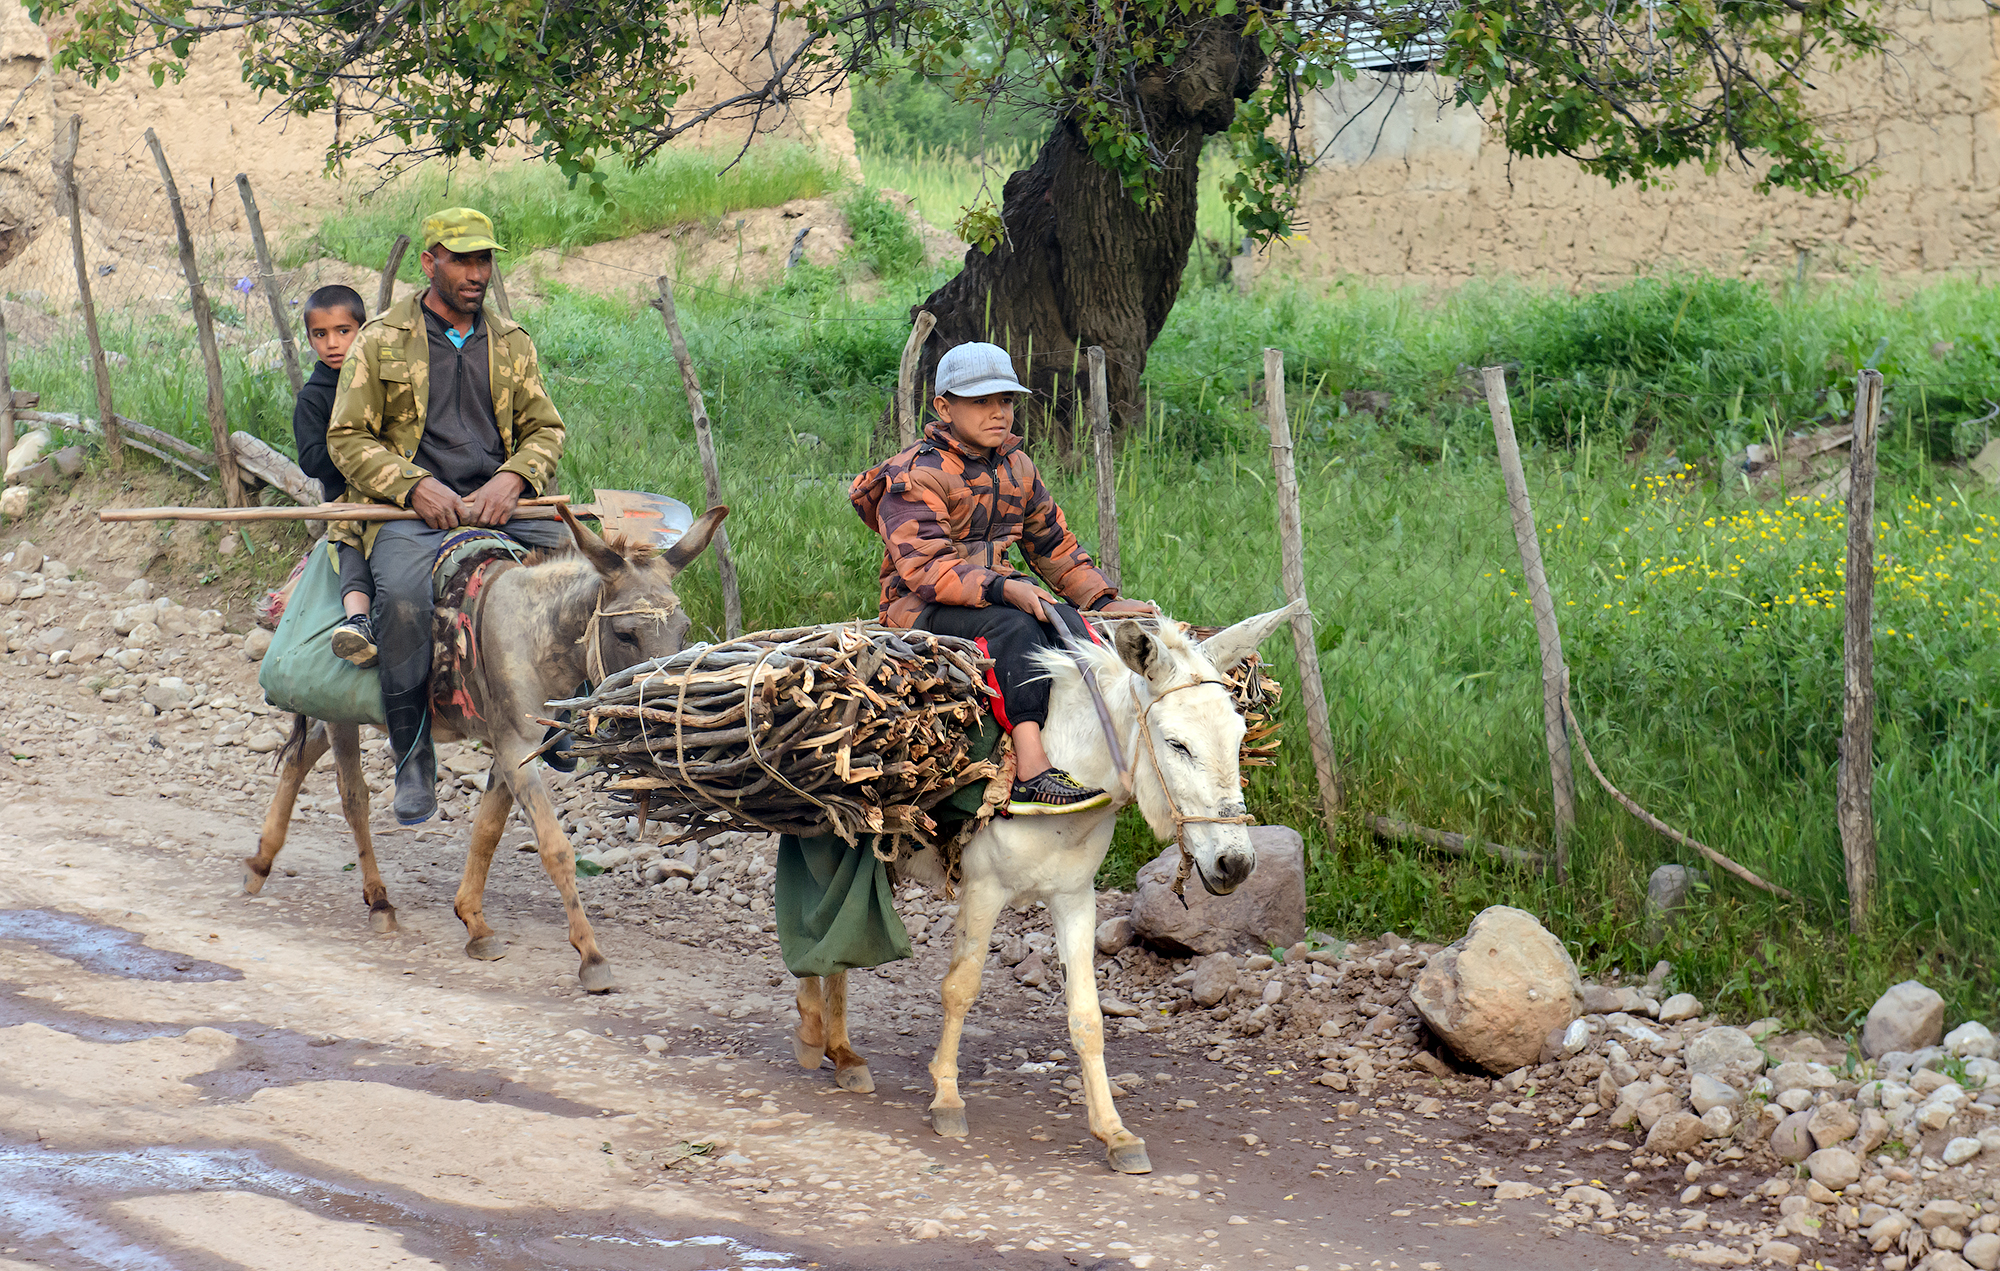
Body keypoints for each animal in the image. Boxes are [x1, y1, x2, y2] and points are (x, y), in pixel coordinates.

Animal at [241, 502, 727, 993]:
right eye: (626, 635)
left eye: (684, 631)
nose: (661, 715)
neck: (536, 635)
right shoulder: (514, 750)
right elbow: (555, 848)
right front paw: (591, 956)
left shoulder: (514, 750)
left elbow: (488, 832)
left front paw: (473, 923)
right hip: (340, 707)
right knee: (352, 796)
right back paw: (378, 901)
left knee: (300, 757)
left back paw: (261, 863)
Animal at [790, 600, 1303, 1174]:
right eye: (1177, 744)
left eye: (1238, 739)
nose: (1234, 864)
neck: (1070, 772)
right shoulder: (984, 890)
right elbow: (959, 989)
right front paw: (946, 1097)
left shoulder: (1075, 898)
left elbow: (1087, 1016)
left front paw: (1115, 1133)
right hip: (825, 832)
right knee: (816, 920)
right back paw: (814, 1033)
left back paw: (840, 1052)